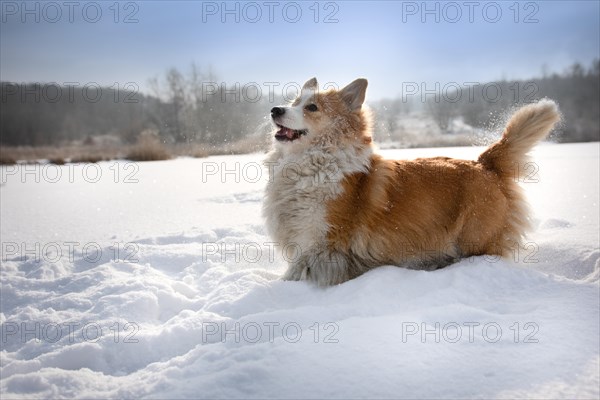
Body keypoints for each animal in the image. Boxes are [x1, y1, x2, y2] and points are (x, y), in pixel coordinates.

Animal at [264, 77, 564, 284]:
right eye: (293, 102)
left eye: (312, 107)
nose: (275, 109)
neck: (313, 164)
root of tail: (485, 163)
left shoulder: (316, 241)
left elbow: (294, 273)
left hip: (477, 241)